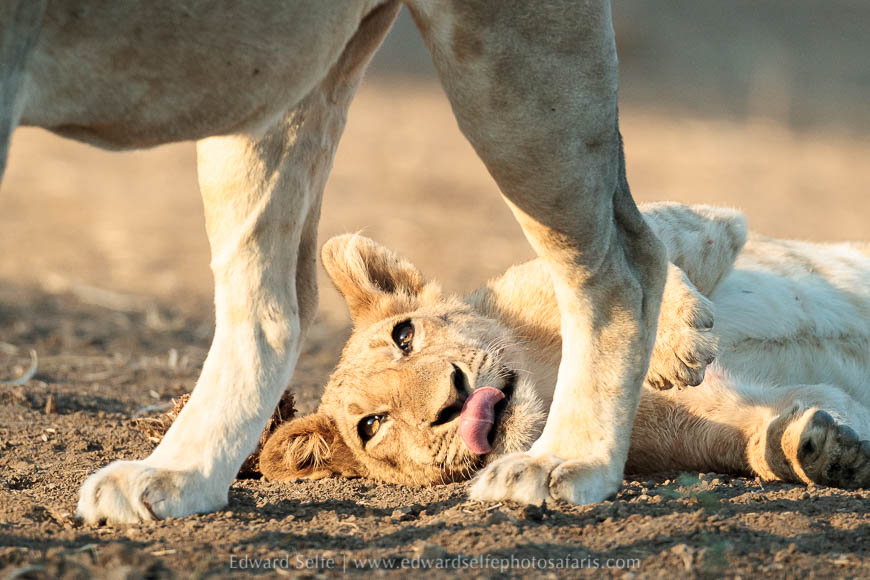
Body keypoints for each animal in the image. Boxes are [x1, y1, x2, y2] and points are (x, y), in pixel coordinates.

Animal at [259, 202, 870, 500]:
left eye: (405, 336)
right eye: (371, 426)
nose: (453, 401)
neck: (548, 375)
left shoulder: (707, 224)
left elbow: (633, 257)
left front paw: (677, 345)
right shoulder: (679, 429)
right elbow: (752, 436)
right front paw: (822, 452)